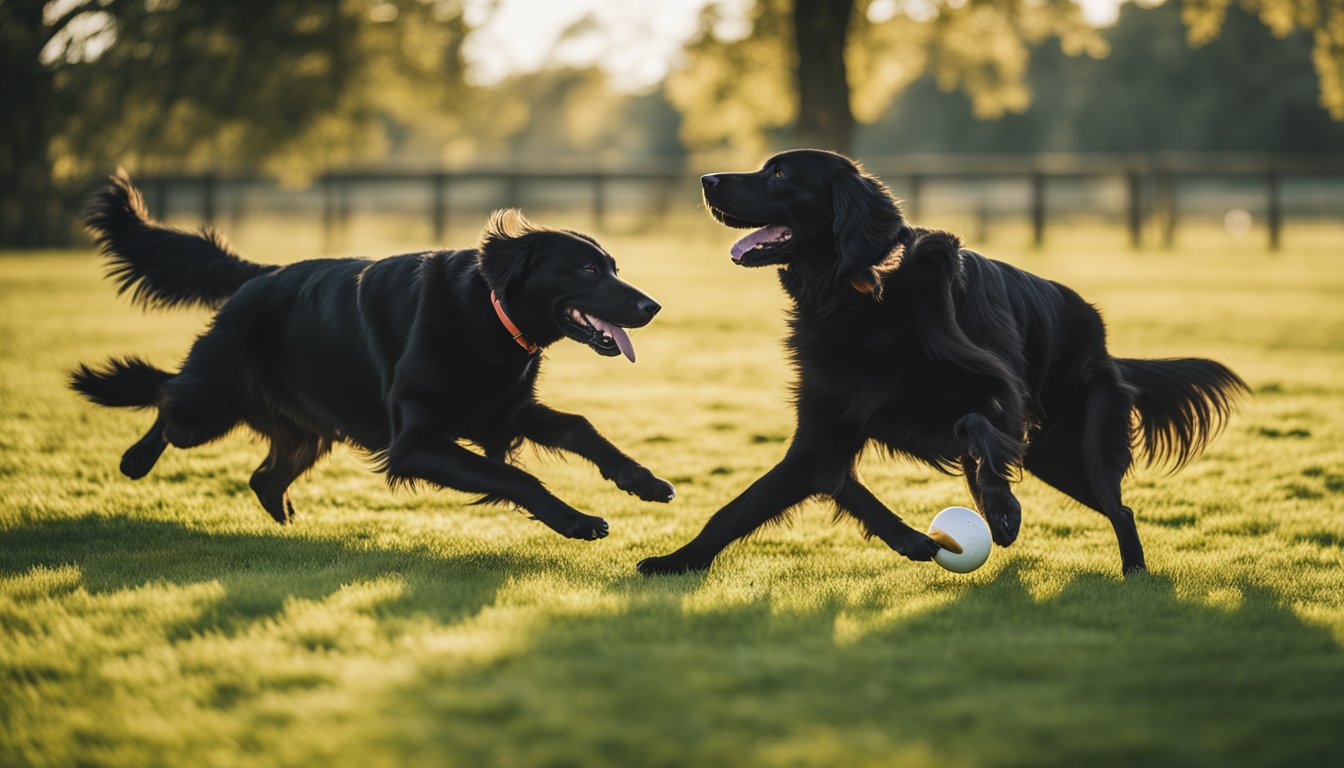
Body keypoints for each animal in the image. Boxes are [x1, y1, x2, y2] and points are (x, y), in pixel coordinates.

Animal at [70, 171, 672, 538]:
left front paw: (642, 480)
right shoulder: (415, 443)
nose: (653, 305)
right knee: (167, 397)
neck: (487, 313)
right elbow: (516, 480)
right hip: (211, 406)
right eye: (588, 269)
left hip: (309, 430)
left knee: (264, 477)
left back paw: (293, 529)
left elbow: (581, 427)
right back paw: (135, 457)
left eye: (614, 267)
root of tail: (259, 275)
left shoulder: (504, 410)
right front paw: (576, 521)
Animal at [634, 148, 1241, 575]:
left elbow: (975, 424)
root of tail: (1104, 340)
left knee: (1120, 510)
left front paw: (1001, 509)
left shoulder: (1002, 395)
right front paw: (674, 562)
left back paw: (1131, 572)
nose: (706, 179)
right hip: (1053, 454)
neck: (863, 298)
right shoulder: (823, 434)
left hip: (1077, 443)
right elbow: (748, 506)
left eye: (780, 173)